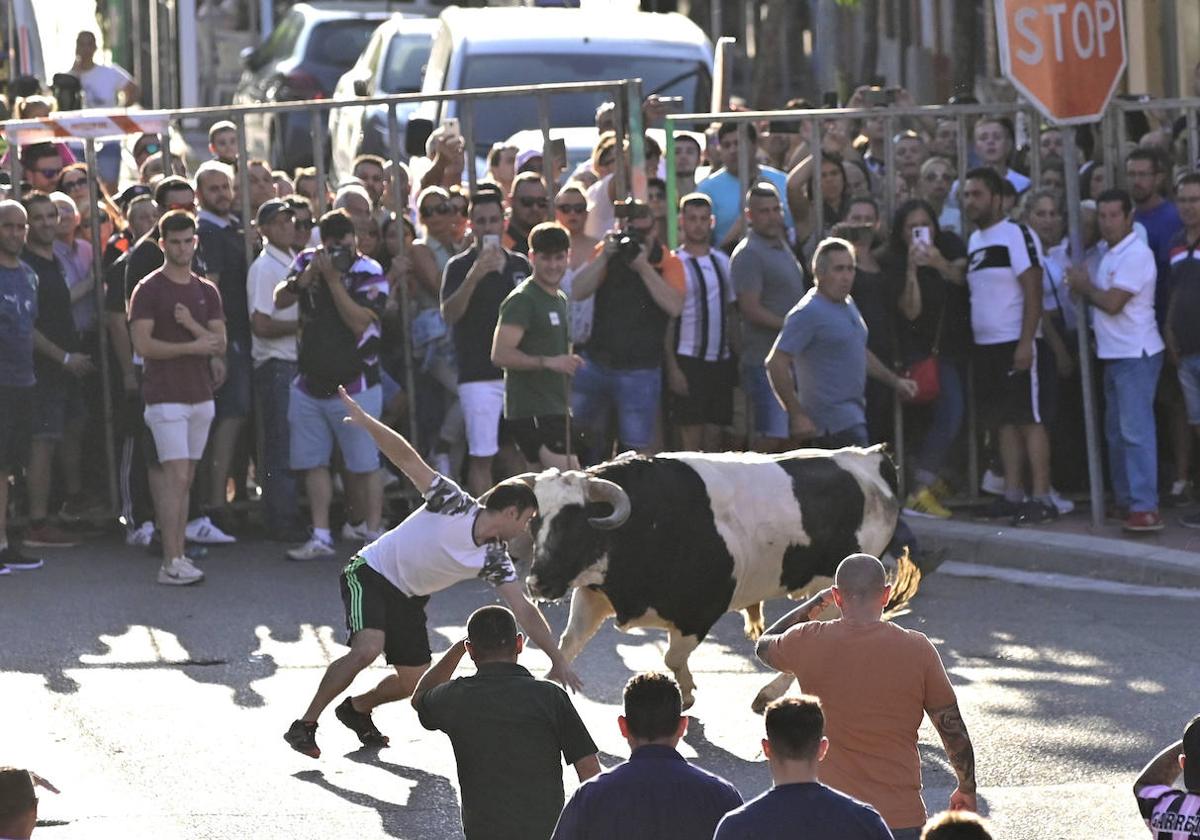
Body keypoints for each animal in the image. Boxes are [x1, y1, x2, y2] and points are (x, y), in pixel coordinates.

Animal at [523, 446, 902, 710]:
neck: (649, 521)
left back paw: (768, 693)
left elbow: (672, 658)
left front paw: (687, 693)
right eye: (535, 522)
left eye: (575, 524)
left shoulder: (700, 612)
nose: (536, 583)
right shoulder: (592, 594)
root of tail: (870, 457)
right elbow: (566, 645)